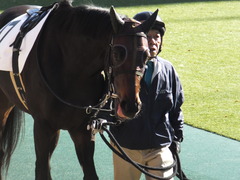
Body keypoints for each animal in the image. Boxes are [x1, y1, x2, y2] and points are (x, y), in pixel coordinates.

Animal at [0, 0, 158, 179]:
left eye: (146, 55)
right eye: (118, 53)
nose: (130, 106)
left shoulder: (82, 129)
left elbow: (90, 172)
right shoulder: (43, 126)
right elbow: (42, 169)